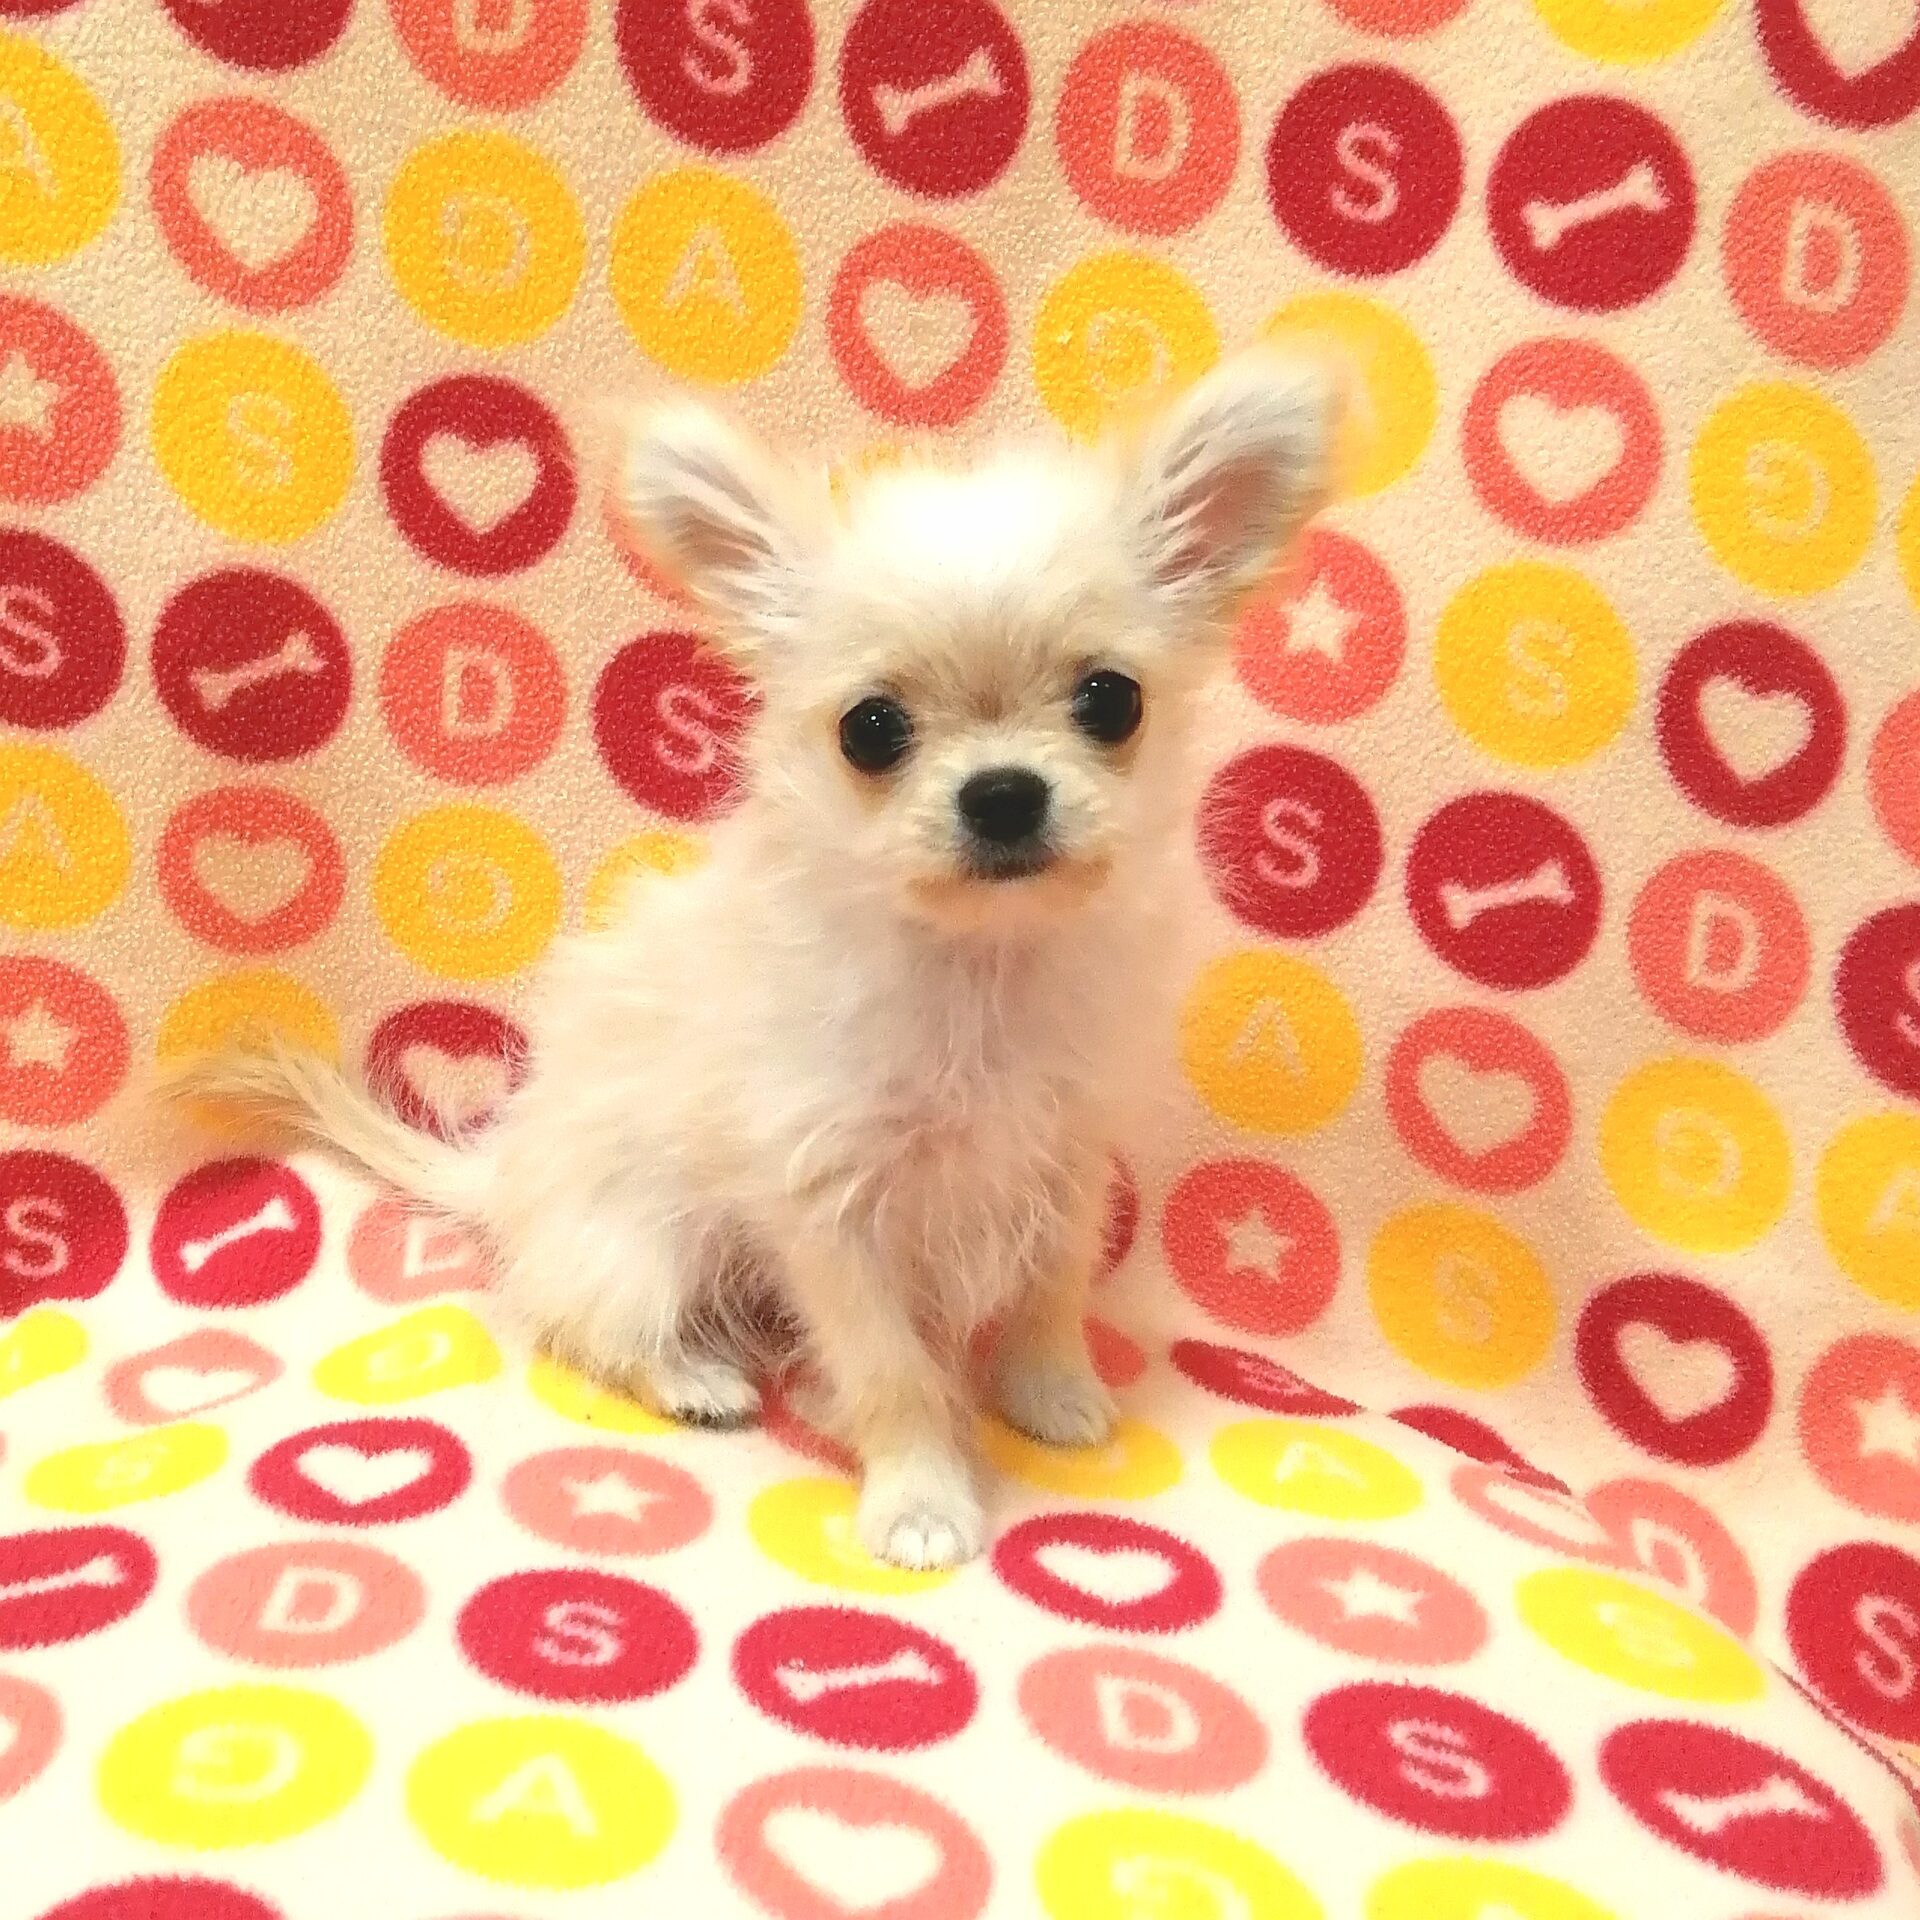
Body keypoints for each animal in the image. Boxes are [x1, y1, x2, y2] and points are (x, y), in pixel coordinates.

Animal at [173, 350, 1337, 1568]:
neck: (977, 968)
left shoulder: (1065, 1157)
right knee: (583, 1323)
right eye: (872, 729)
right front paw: (920, 1504)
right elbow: (891, 1374)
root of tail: (500, 1176)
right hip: (640, 1246)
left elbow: (1050, 1293)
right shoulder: (831, 1208)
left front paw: (1051, 1395)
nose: (1004, 793)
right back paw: (696, 1378)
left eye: (1110, 700)